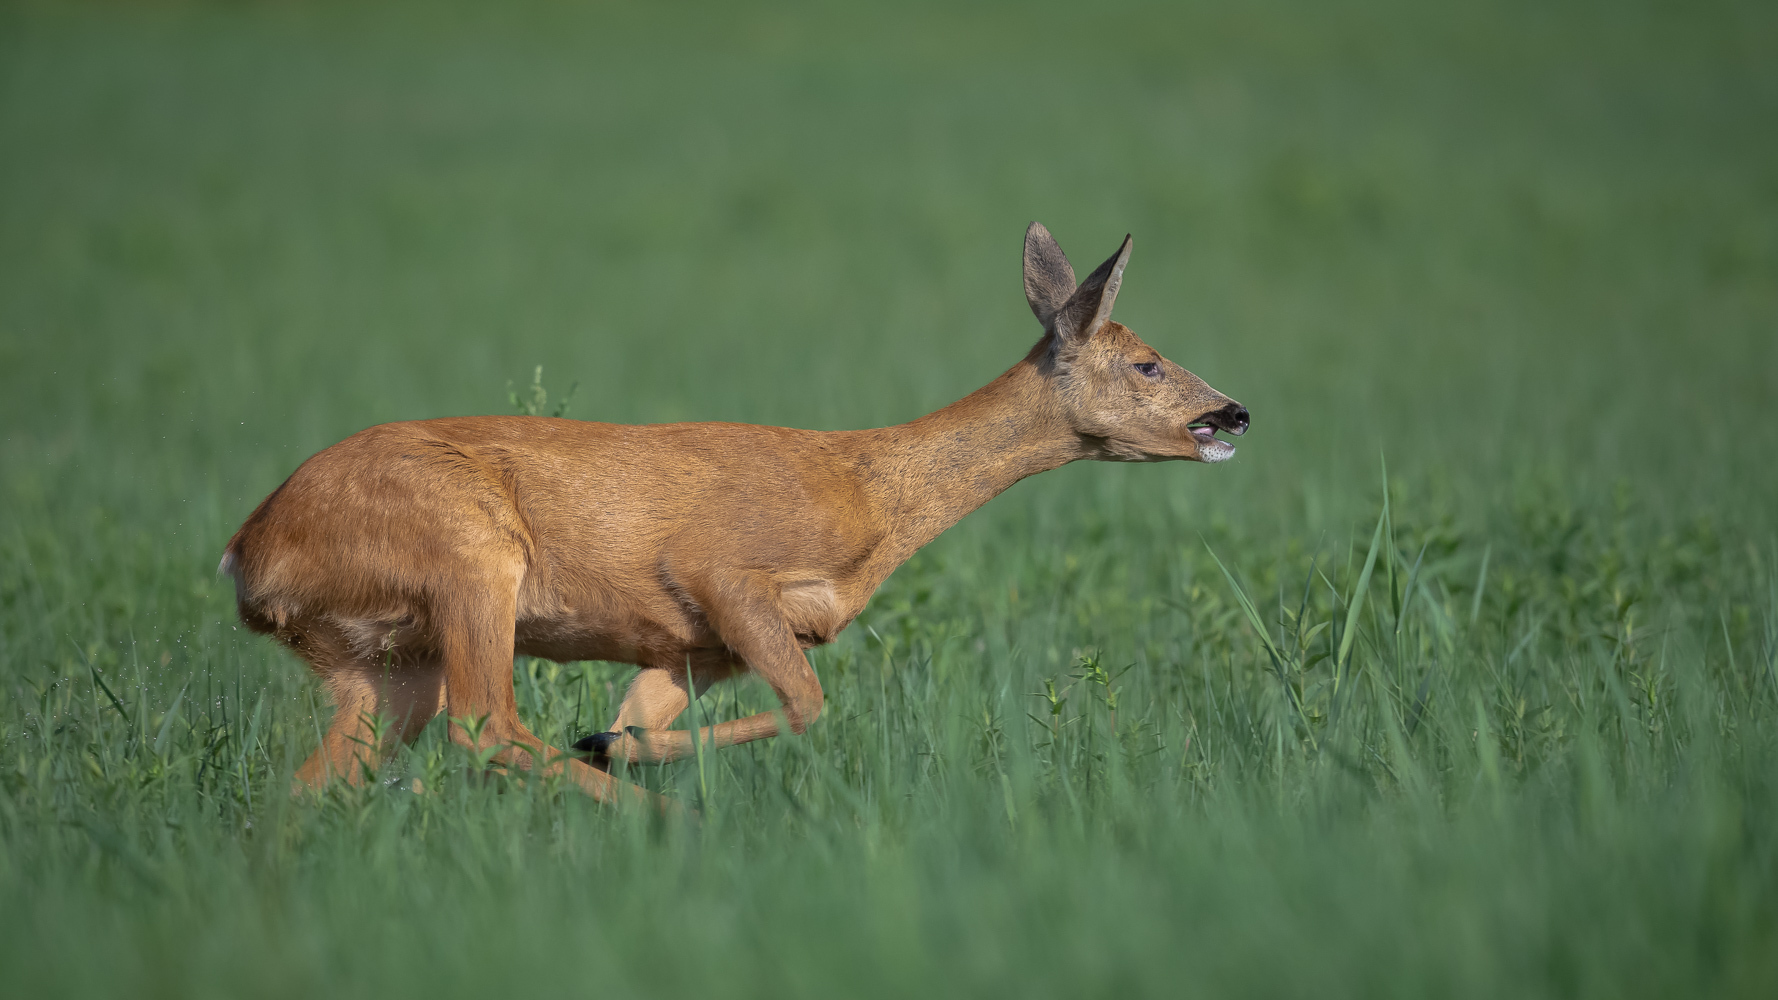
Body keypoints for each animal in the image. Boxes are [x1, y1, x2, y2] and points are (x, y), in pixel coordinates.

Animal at [222, 221, 1251, 804]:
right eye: (1148, 361)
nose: (1233, 412)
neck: (872, 498)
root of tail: (248, 554)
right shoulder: (720, 571)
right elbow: (809, 705)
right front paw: (605, 744)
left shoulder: (690, 645)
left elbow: (655, 716)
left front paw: (617, 739)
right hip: (469, 559)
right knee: (485, 725)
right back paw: (648, 822)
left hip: (381, 661)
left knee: (304, 794)